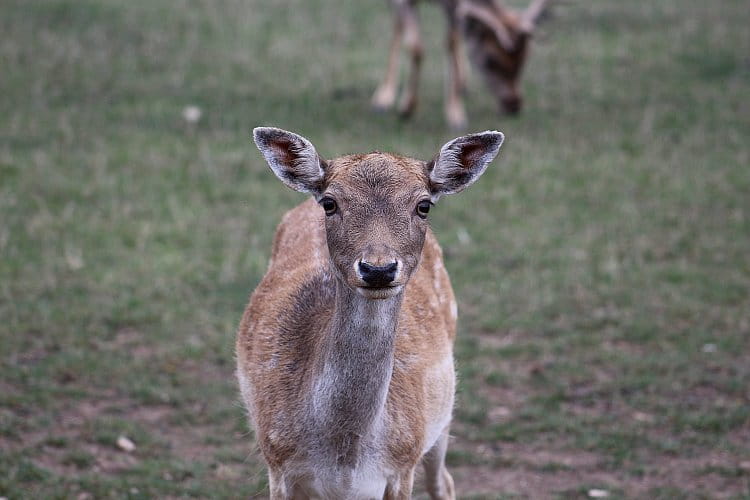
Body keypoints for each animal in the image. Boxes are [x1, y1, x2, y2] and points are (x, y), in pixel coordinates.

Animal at [235, 127, 506, 498]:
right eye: (330, 203)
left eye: (424, 205)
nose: (378, 269)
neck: (346, 462)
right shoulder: (276, 458)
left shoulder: (403, 463)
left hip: (442, 414)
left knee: (444, 482)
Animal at [374, 0, 556, 131]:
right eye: (491, 59)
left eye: (525, 59)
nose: (514, 105)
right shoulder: (404, 2)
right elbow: (416, 48)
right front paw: (407, 108)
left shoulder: (454, 11)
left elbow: (452, 42)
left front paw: (456, 115)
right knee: (397, 26)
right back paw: (384, 96)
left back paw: (463, 82)